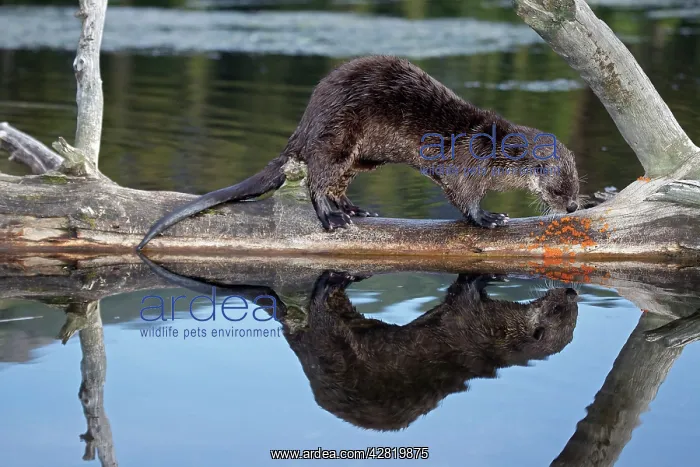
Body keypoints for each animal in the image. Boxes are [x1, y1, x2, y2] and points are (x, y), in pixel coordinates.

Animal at [136, 56, 580, 250]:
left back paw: (354, 209)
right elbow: (462, 197)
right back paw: (332, 217)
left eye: (577, 181)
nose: (574, 206)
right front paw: (488, 217)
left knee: (337, 181)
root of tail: (307, 121)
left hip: (360, 156)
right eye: (558, 184)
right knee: (317, 179)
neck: (490, 146)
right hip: (337, 136)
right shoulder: (465, 166)